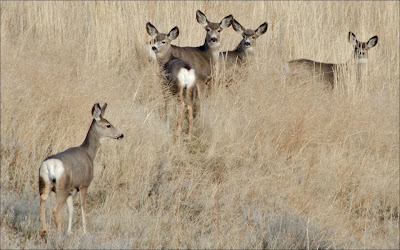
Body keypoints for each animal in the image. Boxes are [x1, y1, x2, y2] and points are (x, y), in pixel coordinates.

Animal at [39, 103, 124, 236]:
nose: (121, 135)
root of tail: (50, 165)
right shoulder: (84, 185)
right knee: (55, 210)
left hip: (44, 184)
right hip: (62, 187)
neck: (89, 153)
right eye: (108, 125)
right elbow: (83, 208)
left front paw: (69, 232)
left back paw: (44, 231)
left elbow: (71, 210)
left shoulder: (71, 190)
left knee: (42, 205)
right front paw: (85, 232)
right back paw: (58, 234)